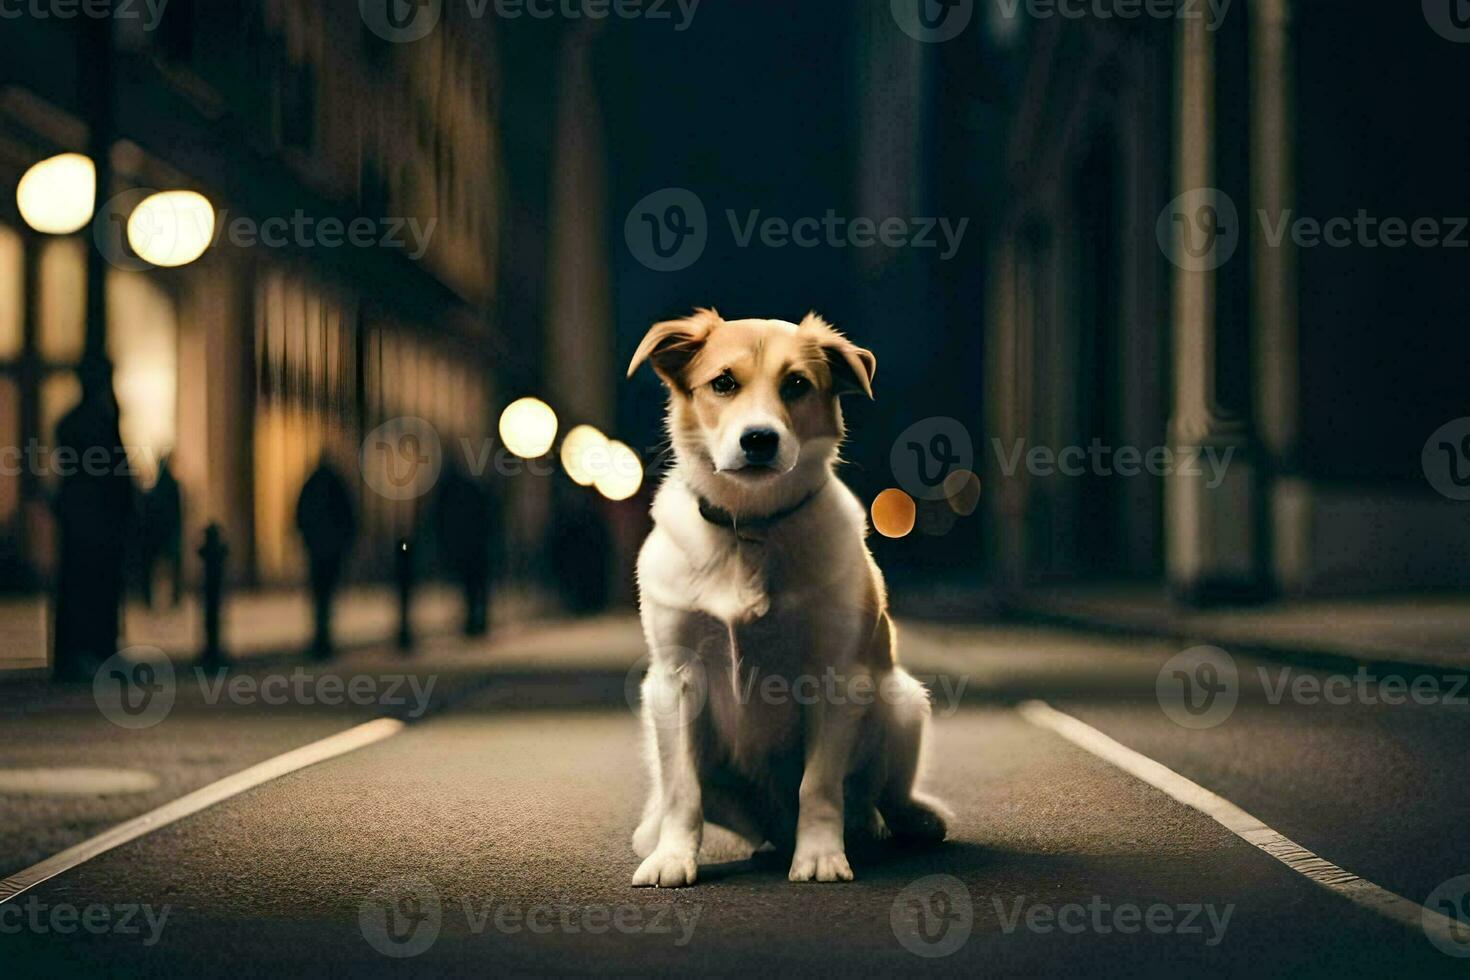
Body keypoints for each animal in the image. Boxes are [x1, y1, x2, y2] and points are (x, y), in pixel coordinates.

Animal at [623, 308, 946, 887]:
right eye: (723, 383)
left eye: (796, 384)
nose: (759, 439)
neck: (750, 526)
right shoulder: (674, 679)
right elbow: (683, 790)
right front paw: (672, 857)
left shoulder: (837, 678)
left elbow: (818, 786)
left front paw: (818, 855)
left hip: (903, 700)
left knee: (878, 796)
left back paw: (899, 822)